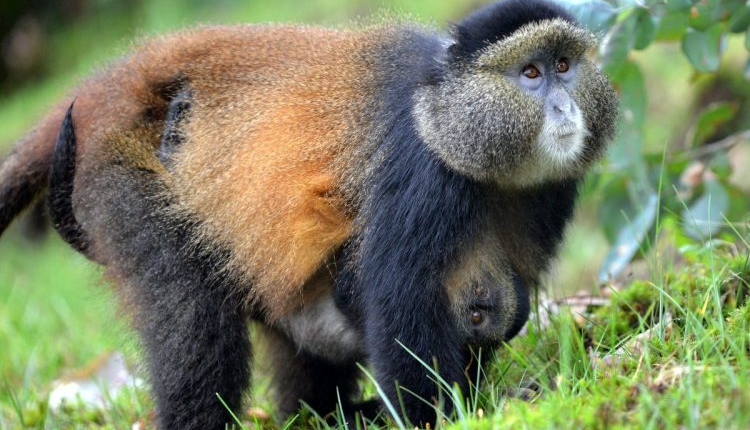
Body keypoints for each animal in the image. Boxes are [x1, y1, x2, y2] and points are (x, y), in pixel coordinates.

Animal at [0, 0, 618, 428]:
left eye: (564, 65)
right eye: (530, 74)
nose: (563, 108)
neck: (447, 116)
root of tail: (113, 83)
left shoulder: (549, 193)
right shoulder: (422, 175)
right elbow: (401, 305)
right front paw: (445, 415)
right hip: (122, 180)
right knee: (195, 333)